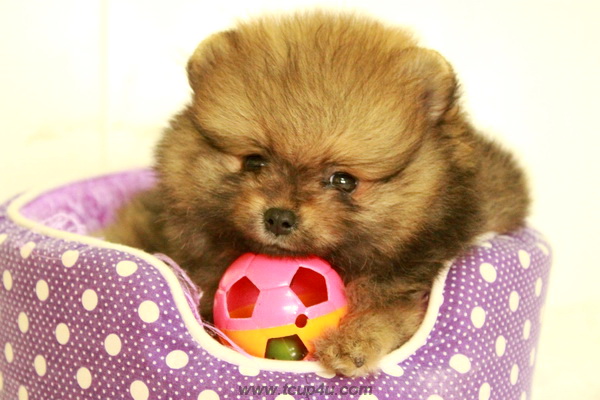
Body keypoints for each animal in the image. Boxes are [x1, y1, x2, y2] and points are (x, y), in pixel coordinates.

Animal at [102, 11, 529, 376]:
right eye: (254, 161)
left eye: (343, 180)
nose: (278, 217)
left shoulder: (411, 282)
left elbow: (393, 310)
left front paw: (352, 341)